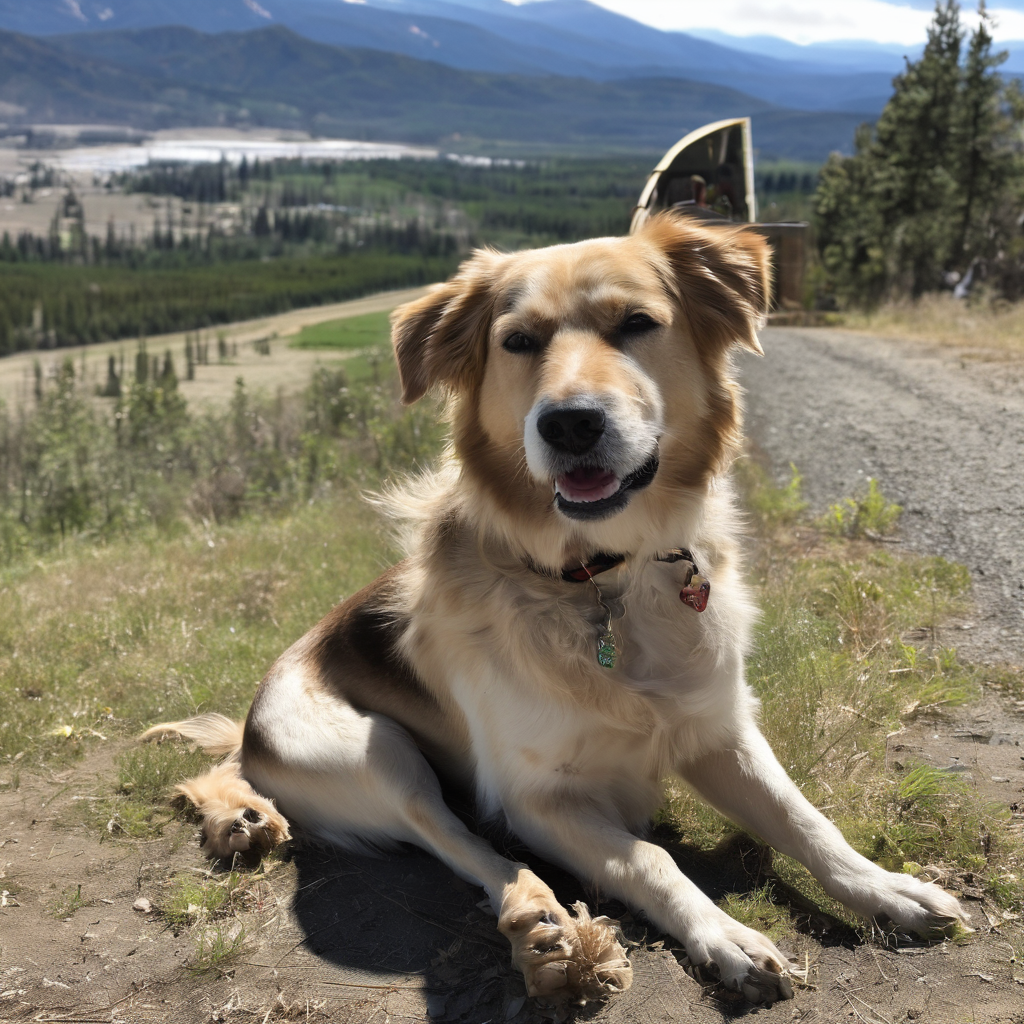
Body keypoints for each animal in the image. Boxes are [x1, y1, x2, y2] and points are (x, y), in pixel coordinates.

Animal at [144, 214, 966, 1007]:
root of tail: (248, 729)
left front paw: (886, 890)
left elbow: (804, 817)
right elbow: (651, 858)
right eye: (518, 341)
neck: (601, 580)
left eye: (637, 323)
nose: (570, 422)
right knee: (460, 842)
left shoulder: (719, 728)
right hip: (376, 752)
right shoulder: (539, 798)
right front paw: (725, 937)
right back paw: (538, 919)